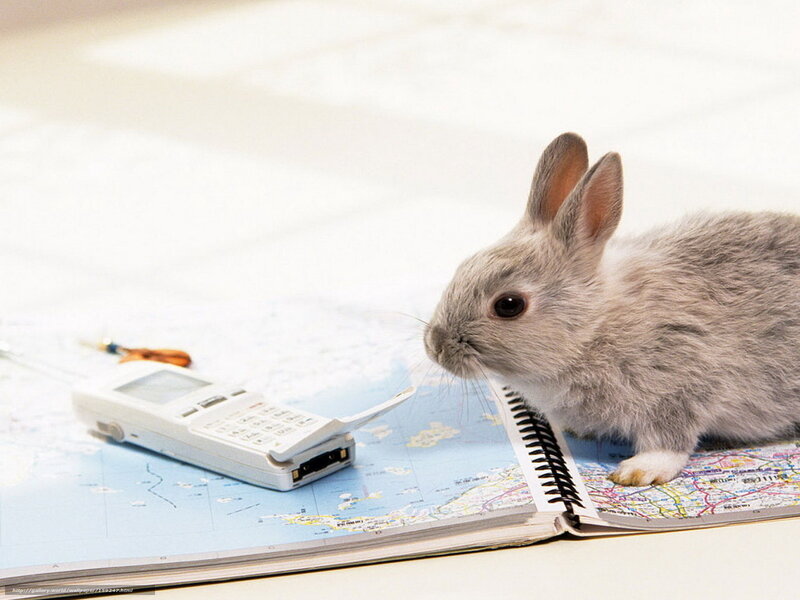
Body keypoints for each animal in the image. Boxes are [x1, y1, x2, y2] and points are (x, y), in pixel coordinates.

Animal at [424, 132, 800, 486]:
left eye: (509, 305)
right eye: (463, 265)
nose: (435, 347)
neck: (594, 326)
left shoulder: (682, 384)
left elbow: (670, 440)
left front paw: (640, 471)